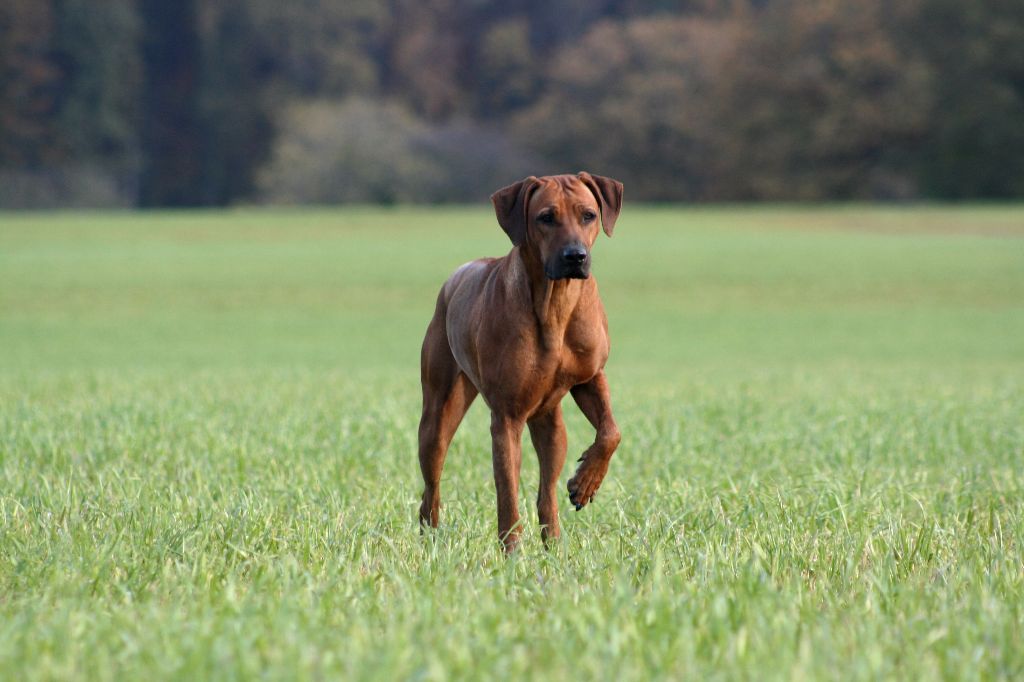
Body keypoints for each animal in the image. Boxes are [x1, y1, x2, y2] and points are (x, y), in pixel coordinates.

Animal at [415, 173, 622, 548]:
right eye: (546, 217)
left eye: (588, 215)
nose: (575, 256)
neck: (555, 303)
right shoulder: (507, 417)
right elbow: (508, 495)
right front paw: (511, 554)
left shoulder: (591, 377)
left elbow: (611, 432)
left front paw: (585, 482)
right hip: (437, 417)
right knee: (430, 489)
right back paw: (431, 540)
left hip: (550, 423)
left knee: (547, 490)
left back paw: (555, 542)